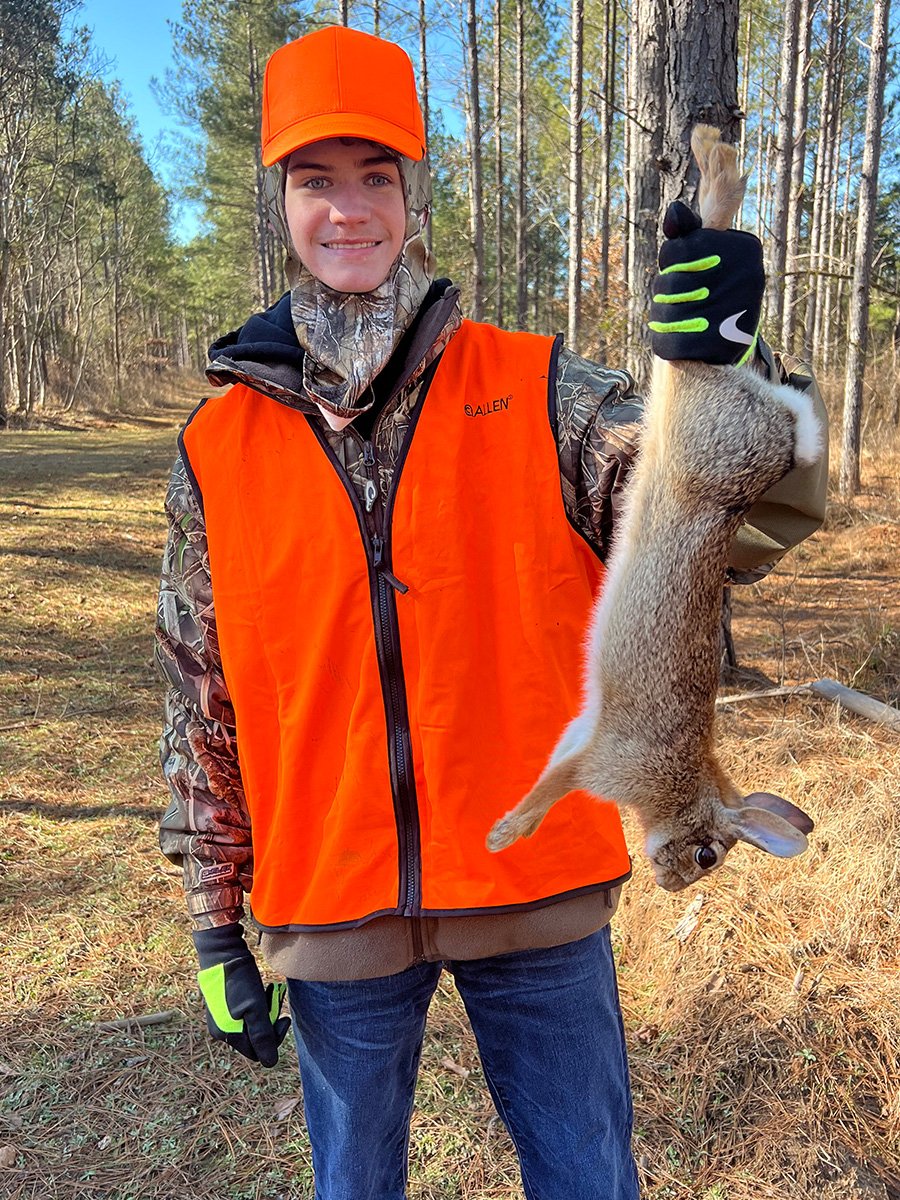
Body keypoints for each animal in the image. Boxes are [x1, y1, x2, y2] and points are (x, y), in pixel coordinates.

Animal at [487, 126, 822, 892]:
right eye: (708, 855)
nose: (672, 884)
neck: (685, 785)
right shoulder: (606, 756)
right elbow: (554, 788)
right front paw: (503, 834)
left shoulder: (586, 738)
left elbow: (553, 773)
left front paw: (504, 830)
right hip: (707, 427)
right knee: (721, 208)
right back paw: (711, 150)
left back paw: (707, 149)